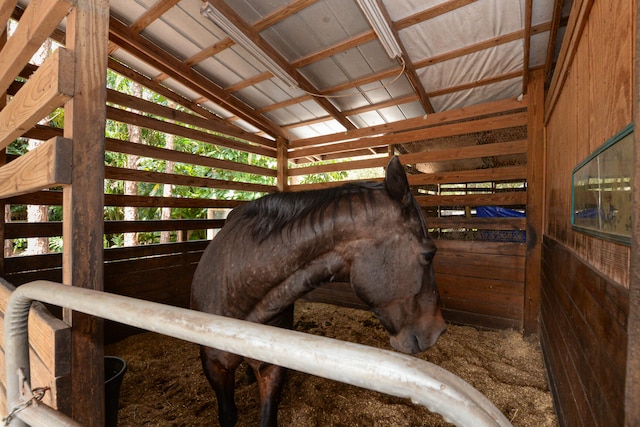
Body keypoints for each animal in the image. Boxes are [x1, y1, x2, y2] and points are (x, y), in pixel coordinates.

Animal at [191, 157, 444, 427]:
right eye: (430, 253)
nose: (438, 330)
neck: (239, 287)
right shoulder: (214, 367)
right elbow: (228, 414)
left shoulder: (272, 367)